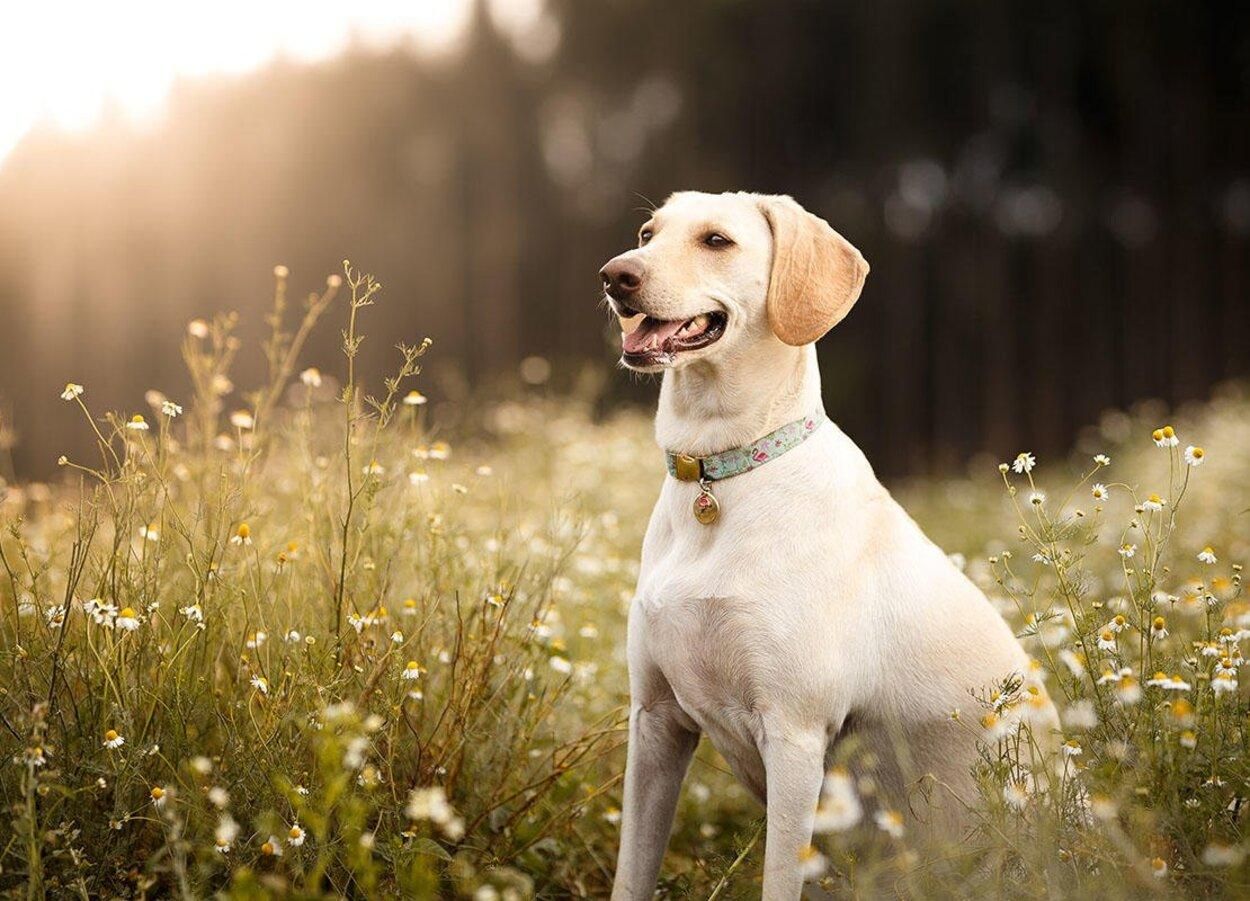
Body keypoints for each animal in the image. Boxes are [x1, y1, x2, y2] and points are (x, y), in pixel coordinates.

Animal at [595, 187, 1055, 894]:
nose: (615, 274)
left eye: (716, 241)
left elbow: (780, 880)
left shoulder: (794, 737)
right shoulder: (655, 723)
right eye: (648, 233)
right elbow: (631, 873)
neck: (721, 472)